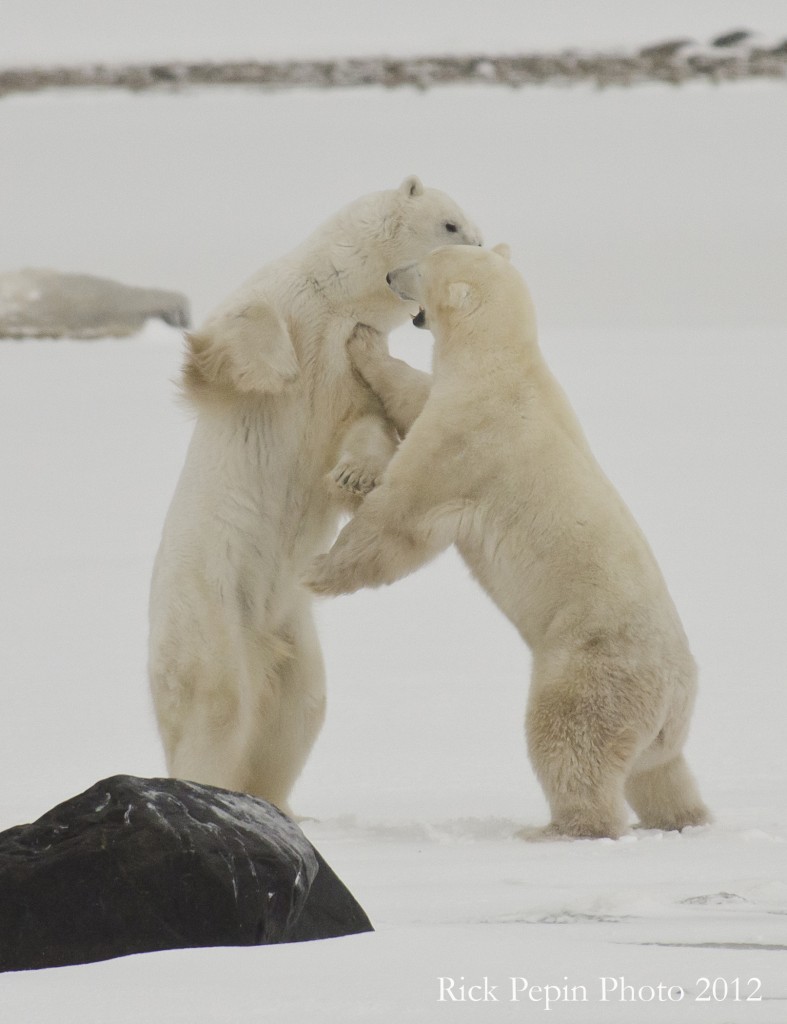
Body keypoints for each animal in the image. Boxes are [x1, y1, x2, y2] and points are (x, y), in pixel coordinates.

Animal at [148, 177, 482, 815]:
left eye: (475, 231)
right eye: (452, 225)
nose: (478, 256)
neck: (339, 300)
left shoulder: (354, 362)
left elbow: (364, 426)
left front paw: (353, 477)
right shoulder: (282, 297)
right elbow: (235, 332)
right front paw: (282, 368)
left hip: (291, 627)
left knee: (297, 711)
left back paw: (273, 802)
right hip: (210, 597)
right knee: (216, 698)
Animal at [304, 243, 711, 840]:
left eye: (420, 267)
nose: (389, 274)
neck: (505, 364)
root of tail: (677, 691)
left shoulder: (471, 438)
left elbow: (404, 516)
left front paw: (317, 570)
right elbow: (413, 395)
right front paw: (363, 341)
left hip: (591, 668)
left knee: (568, 741)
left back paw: (559, 828)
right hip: (661, 722)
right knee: (660, 771)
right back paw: (684, 818)